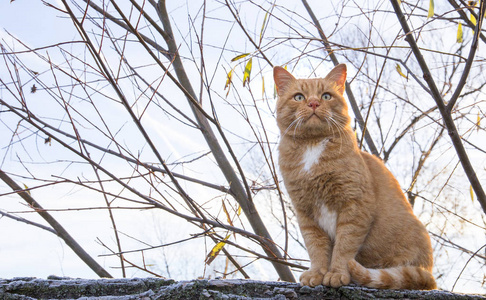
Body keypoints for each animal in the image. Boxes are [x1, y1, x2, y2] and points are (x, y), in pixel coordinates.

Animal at [274, 63, 436, 290]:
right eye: (299, 97)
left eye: (326, 96)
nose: (314, 103)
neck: (312, 147)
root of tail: (428, 273)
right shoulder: (306, 213)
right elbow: (316, 247)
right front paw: (317, 273)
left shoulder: (355, 205)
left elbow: (344, 246)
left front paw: (336, 273)